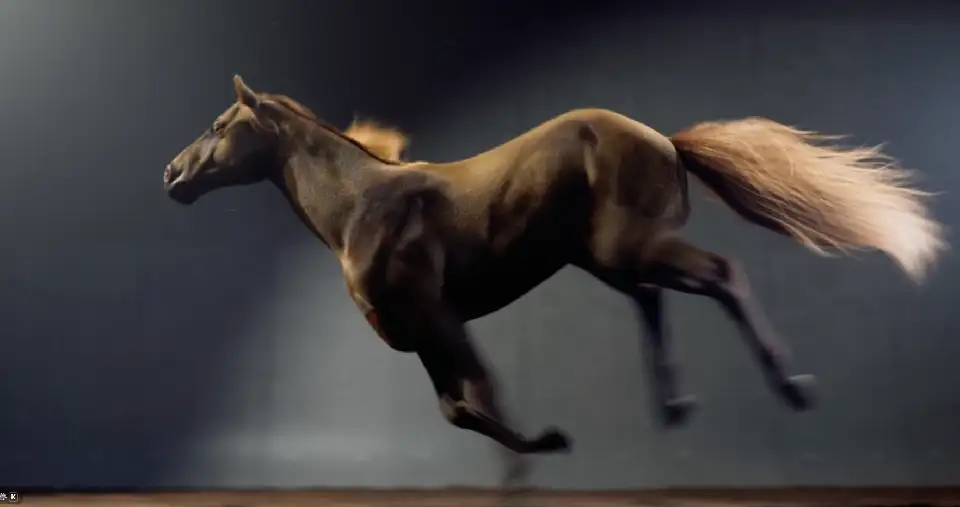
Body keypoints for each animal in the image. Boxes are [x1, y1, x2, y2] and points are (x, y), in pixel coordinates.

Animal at [163, 75, 946, 456]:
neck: (362, 206)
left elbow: (481, 394)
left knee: (722, 274)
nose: (170, 174)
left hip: (631, 246)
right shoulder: (421, 335)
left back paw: (791, 387)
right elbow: (457, 409)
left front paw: (542, 445)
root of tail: (664, 139)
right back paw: (675, 406)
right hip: (607, 257)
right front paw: (545, 441)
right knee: (654, 300)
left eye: (218, 125)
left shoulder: (440, 318)